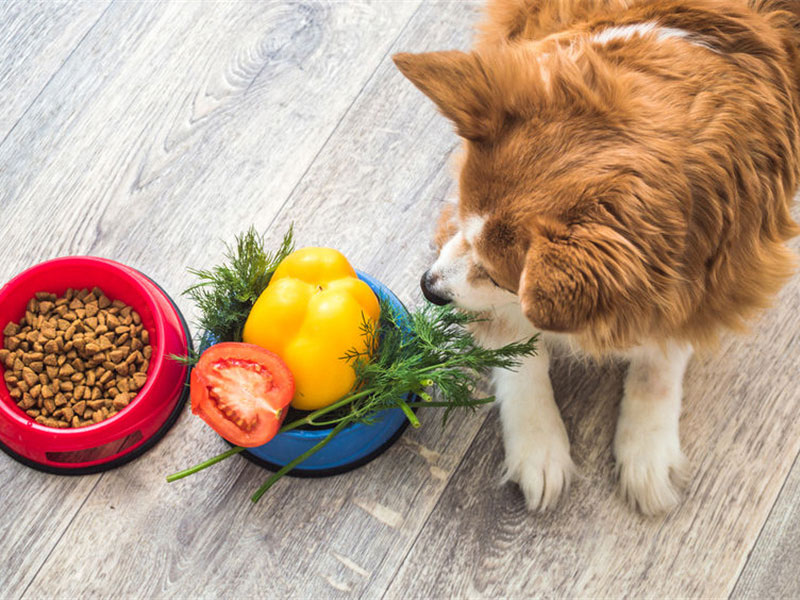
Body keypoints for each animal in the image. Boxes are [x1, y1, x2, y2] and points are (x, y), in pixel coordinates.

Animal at [394, 0, 800, 516]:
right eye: (464, 220)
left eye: (499, 275)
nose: (428, 288)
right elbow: (516, 350)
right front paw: (539, 447)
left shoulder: (715, 276)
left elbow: (660, 359)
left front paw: (647, 449)